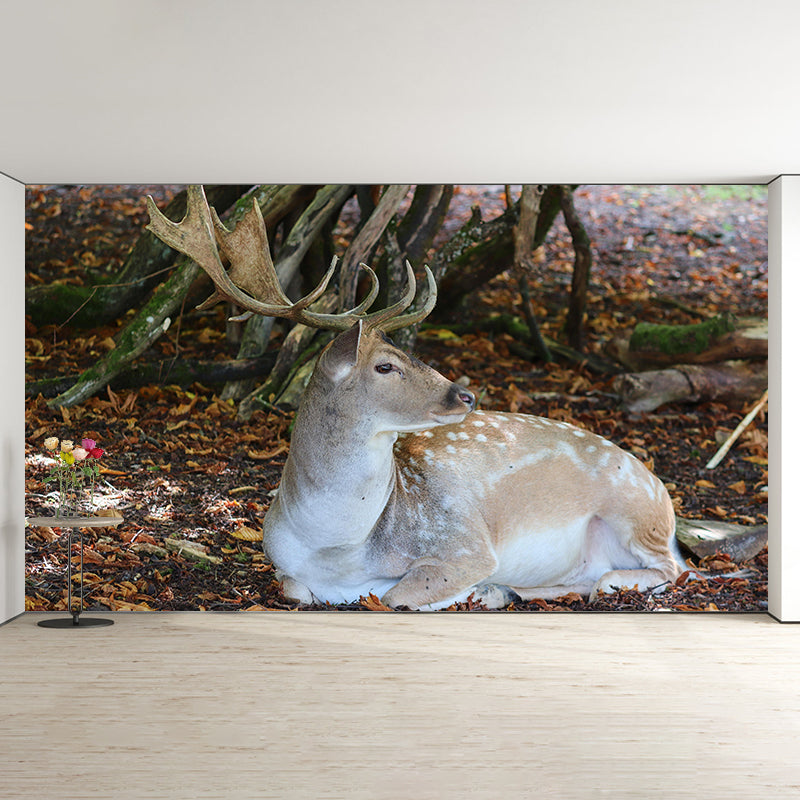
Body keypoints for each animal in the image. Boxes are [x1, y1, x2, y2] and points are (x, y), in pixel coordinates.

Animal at [146, 186, 684, 610]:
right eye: (386, 365)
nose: (466, 395)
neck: (338, 549)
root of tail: (665, 495)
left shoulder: (465, 544)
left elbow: (395, 595)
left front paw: (473, 590)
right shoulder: (283, 566)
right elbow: (298, 590)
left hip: (635, 513)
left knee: (665, 572)